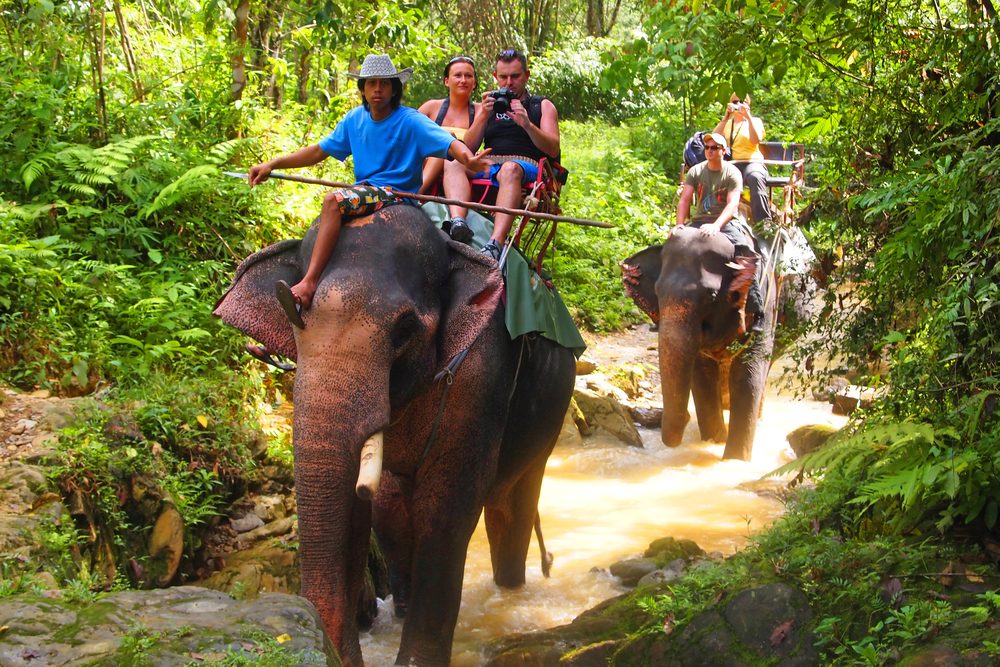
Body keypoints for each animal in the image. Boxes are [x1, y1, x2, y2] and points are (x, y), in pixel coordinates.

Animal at [215, 205, 576, 667]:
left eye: (405, 329)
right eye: (291, 316)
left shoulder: (480, 375)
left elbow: (448, 508)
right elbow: (360, 513)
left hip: (553, 406)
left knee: (512, 503)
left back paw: (511, 590)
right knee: (391, 508)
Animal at [620, 227, 776, 462]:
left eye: (711, 296)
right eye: (657, 292)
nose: (686, 416)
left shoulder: (766, 305)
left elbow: (748, 376)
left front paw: (735, 461)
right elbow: (701, 374)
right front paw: (714, 441)